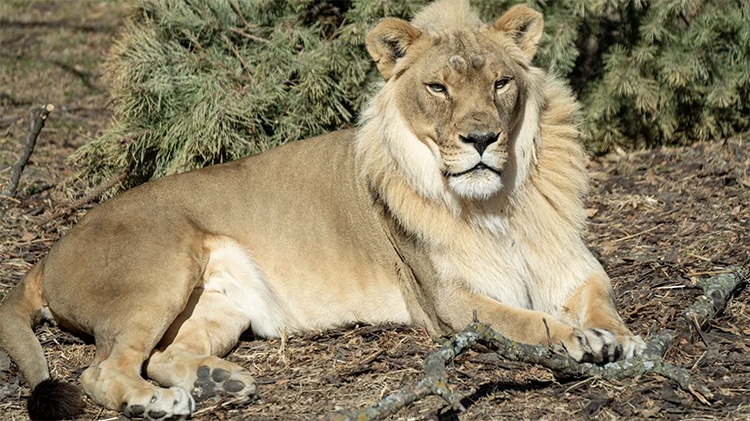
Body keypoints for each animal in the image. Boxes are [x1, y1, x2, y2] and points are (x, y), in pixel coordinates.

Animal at [0, 1, 648, 418]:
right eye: (438, 88)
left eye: (500, 83)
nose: (482, 139)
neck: (496, 203)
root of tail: (48, 252)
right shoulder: (451, 302)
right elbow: (530, 321)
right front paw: (583, 340)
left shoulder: (573, 266)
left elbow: (602, 300)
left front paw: (627, 340)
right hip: (162, 267)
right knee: (100, 370)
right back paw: (154, 403)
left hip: (220, 307)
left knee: (161, 353)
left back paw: (217, 381)